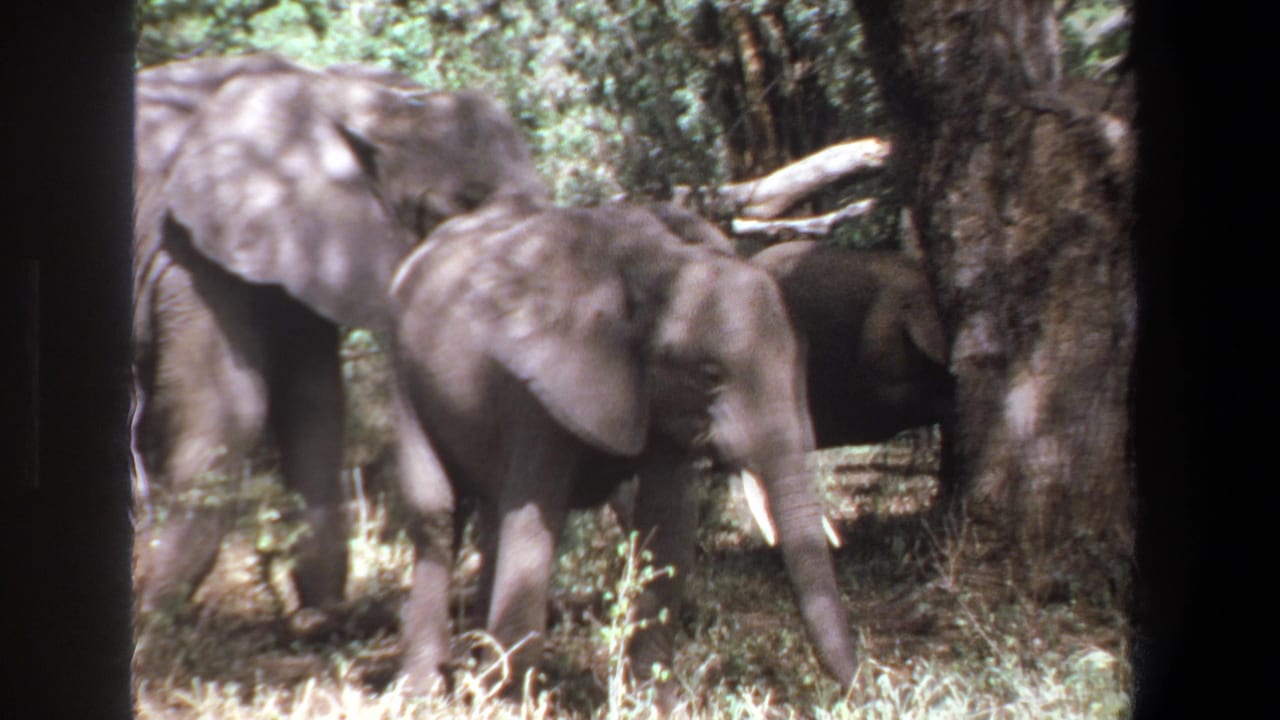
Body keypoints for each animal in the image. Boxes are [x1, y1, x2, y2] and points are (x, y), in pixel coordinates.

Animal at [130, 53, 549, 625]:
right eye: (450, 210)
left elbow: (316, 400)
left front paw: (321, 618)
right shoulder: (185, 247)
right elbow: (227, 405)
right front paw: (153, 615)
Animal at [387, 200, 858, 699]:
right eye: (710, 375)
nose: (860, 688)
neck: (662, 265)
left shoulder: (663, 400)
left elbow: (666, 524)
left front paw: (653, 702)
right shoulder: (538, 385)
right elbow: (535, 519)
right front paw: (515, 703)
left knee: (492, 522)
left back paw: (481, 676)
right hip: (402, 372)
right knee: (438, 517)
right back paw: (423, 691)